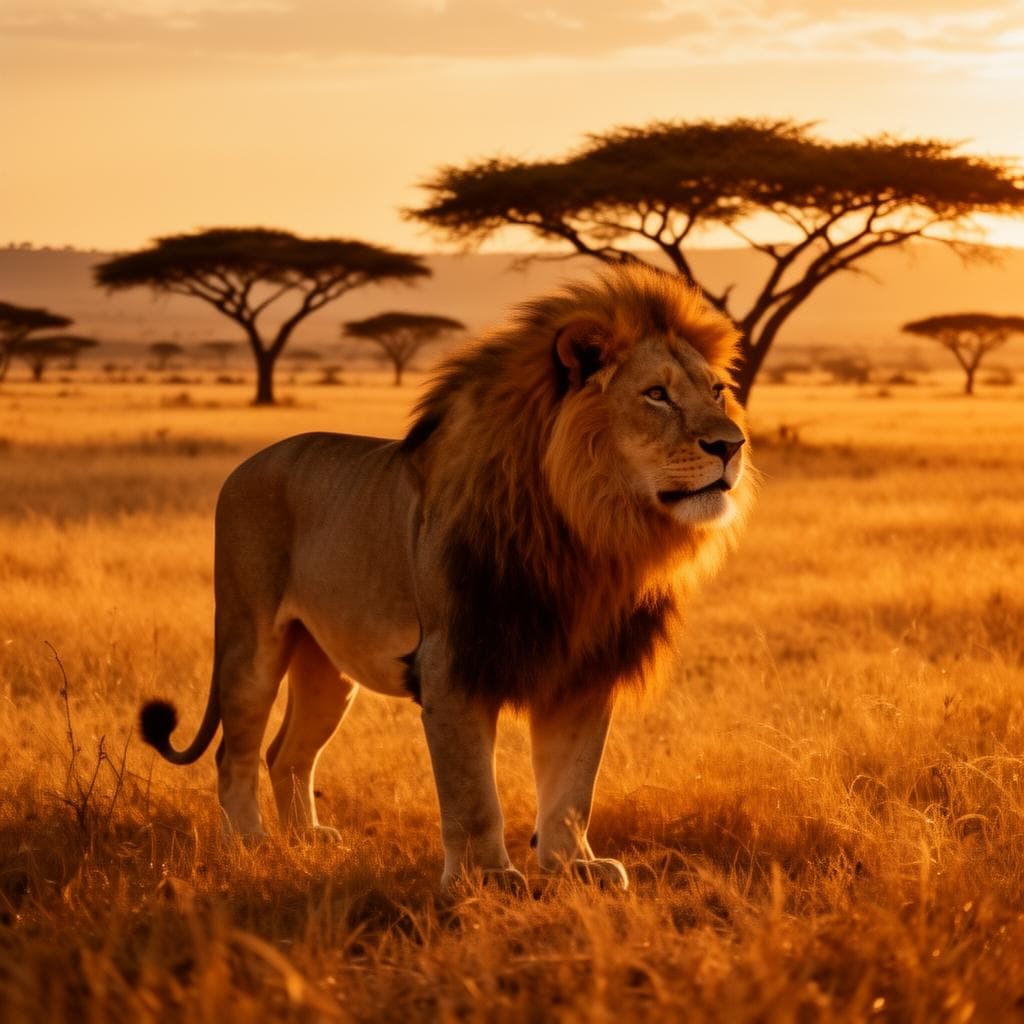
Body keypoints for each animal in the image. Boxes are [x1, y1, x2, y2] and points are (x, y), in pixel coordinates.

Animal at [140, 263, 754, 892]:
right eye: (656, 395)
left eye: (716, 391)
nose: (732, 445)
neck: (585, 531)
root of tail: (247, 465)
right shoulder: (451, 662)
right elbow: (472, 792)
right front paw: (486, 878)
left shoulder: (582, 668)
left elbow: (572, 787)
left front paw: (572, 865)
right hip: (251, 641)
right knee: (234, 752)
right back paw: (250, 844)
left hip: (327, 666)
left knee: (285, 752)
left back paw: (305, 839)